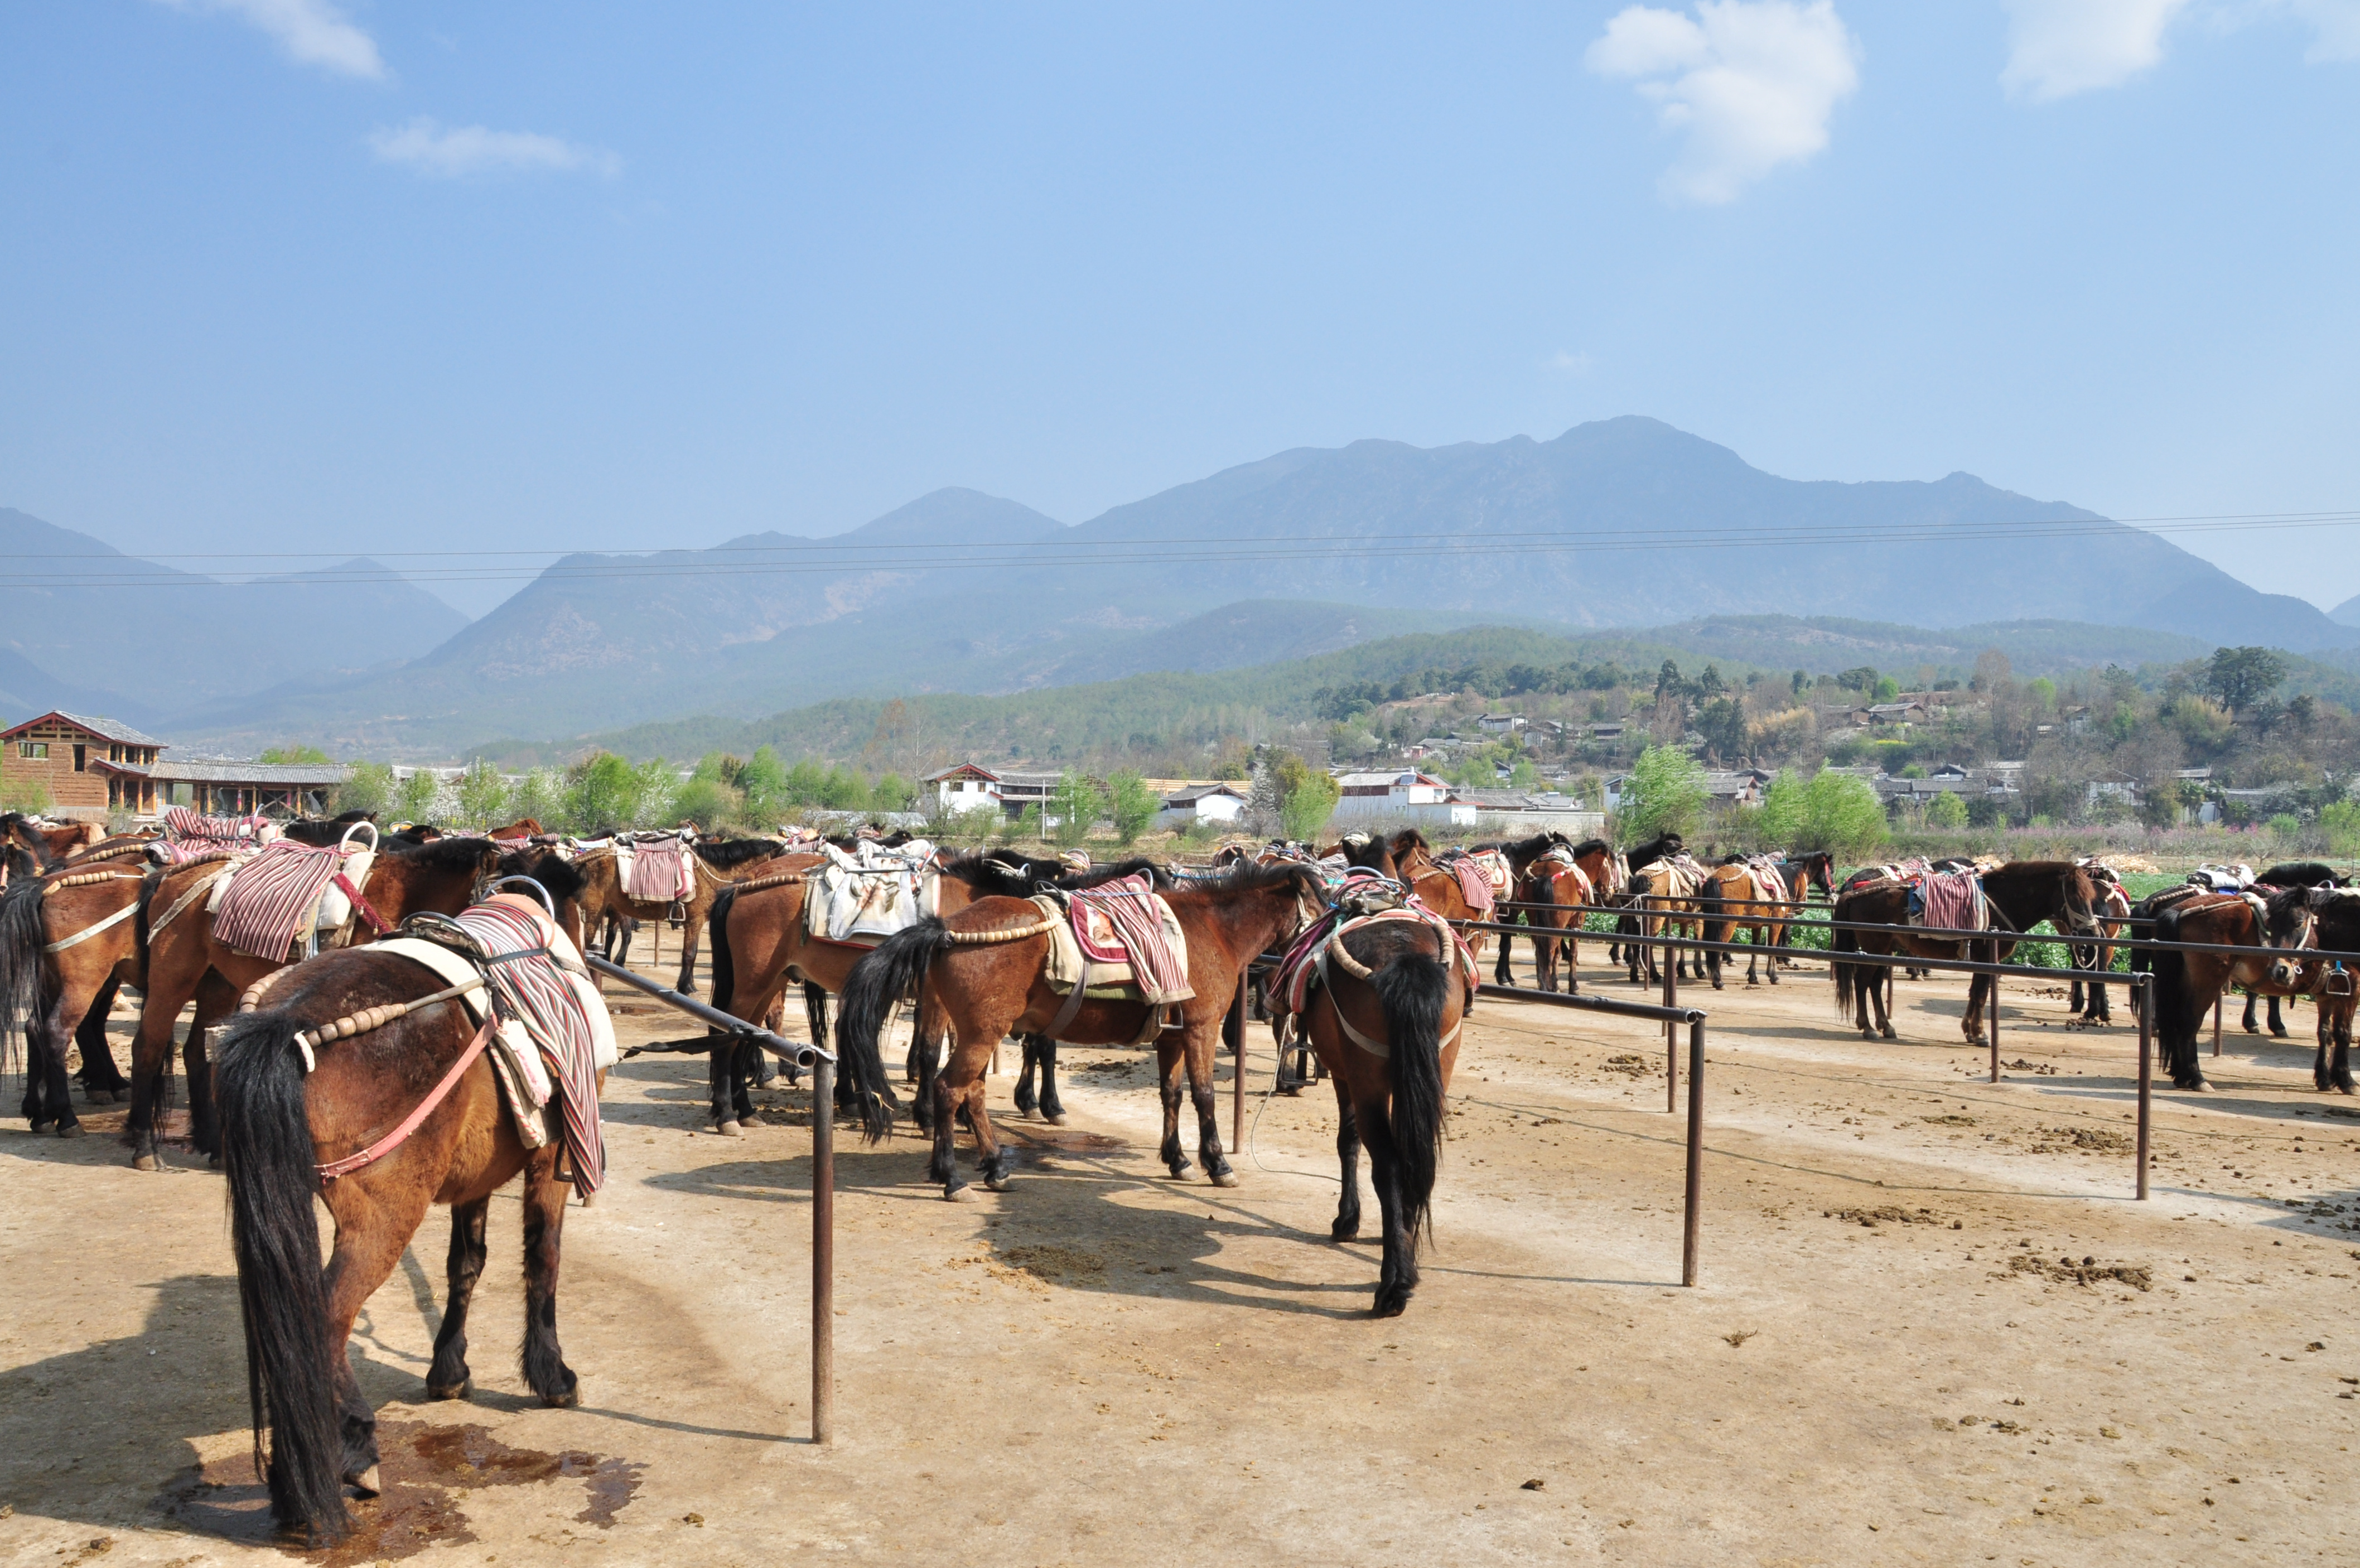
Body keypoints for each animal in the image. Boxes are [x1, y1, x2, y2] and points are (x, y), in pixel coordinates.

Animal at [122, 841, 509, 1171]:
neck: (398, 897)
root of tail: (168, 876)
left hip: (218, 984)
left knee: (197, 1053)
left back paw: (212, 1146)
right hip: (173, 980)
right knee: (148, 1048)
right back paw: (145, 1149)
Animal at [840, 859, 1340, 1199]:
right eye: (1321, 906)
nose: (1328, 944)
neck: (1212, 930)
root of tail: (945, 930)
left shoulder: (1171, 1036)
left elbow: (1172, 1095)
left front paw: (1177, 1158)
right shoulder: (1199, 1030)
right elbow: (1204, 1096)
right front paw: (1216, 1162)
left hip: (977, 1034)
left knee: (972, 1093)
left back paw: (996, 1167)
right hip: (981, 1035)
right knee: (949, 1090)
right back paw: (952, 1175)